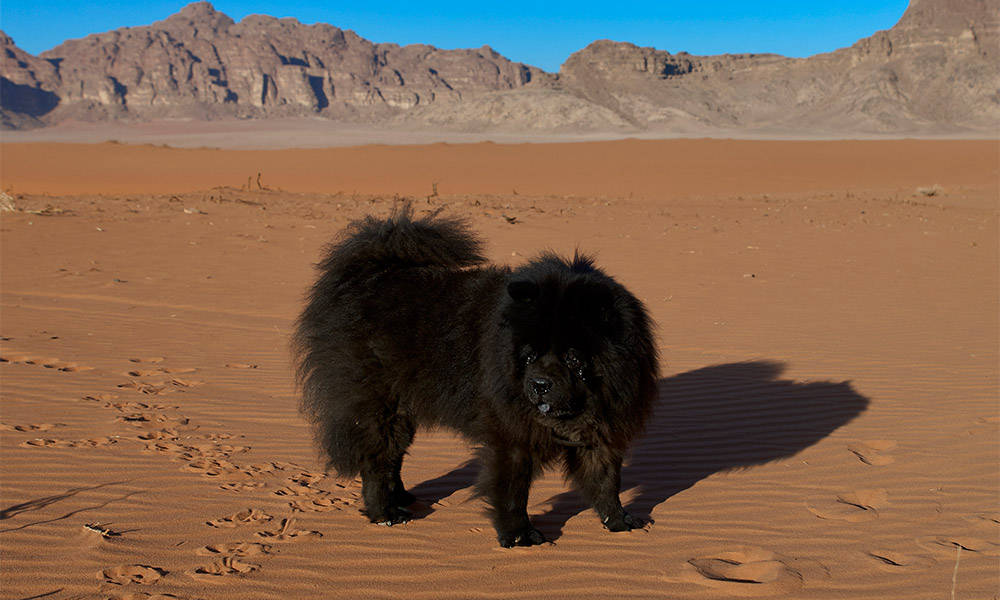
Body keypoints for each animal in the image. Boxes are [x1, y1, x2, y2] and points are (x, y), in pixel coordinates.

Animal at [292, 207, 660, 548]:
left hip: (402, 409)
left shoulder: (603, 431)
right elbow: (513, 491)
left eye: (572, 357)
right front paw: (519, 536)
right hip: (379, 405)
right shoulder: (511, 437)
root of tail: (365, 276)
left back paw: (403, 498)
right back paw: (386, 513)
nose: (539, 385)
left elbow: (606, 481)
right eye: (529, 355)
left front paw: (619, 521)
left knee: (393, 458)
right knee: (377, 460)